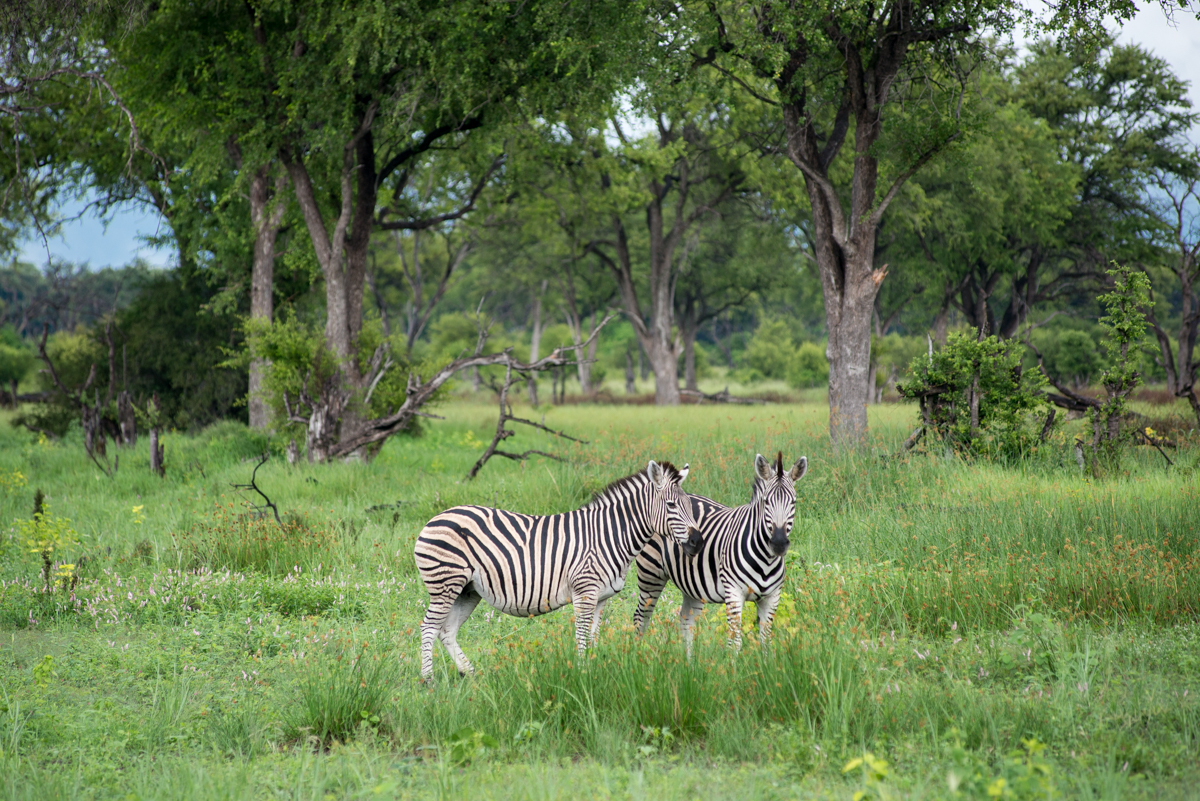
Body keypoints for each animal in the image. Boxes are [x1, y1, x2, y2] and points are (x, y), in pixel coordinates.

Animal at [415, 460, 700, 681]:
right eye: (672, 506)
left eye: (689, 505)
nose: (697, 542)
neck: (609, 535)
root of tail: (435, 518)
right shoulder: (585, 592)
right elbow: (582, 635)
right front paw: (583, 673)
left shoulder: (601, 598)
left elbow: (593, 635)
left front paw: (593, 670)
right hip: (445, 584)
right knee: (429, 627)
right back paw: (428, 680)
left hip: (467, 590)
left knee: (447, 630)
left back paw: (471, 674)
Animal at [633, 453, 811, 652]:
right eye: (766, 501)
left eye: (793, 502)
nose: (779, 543)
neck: (766, 559)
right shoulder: (733, 593)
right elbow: (735, 642)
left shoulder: (772, 597)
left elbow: (766, 641)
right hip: (650, 576)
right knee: (641, 618)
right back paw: (638, 652)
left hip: (692, 586)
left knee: (686, 621)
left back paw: (689, 660)